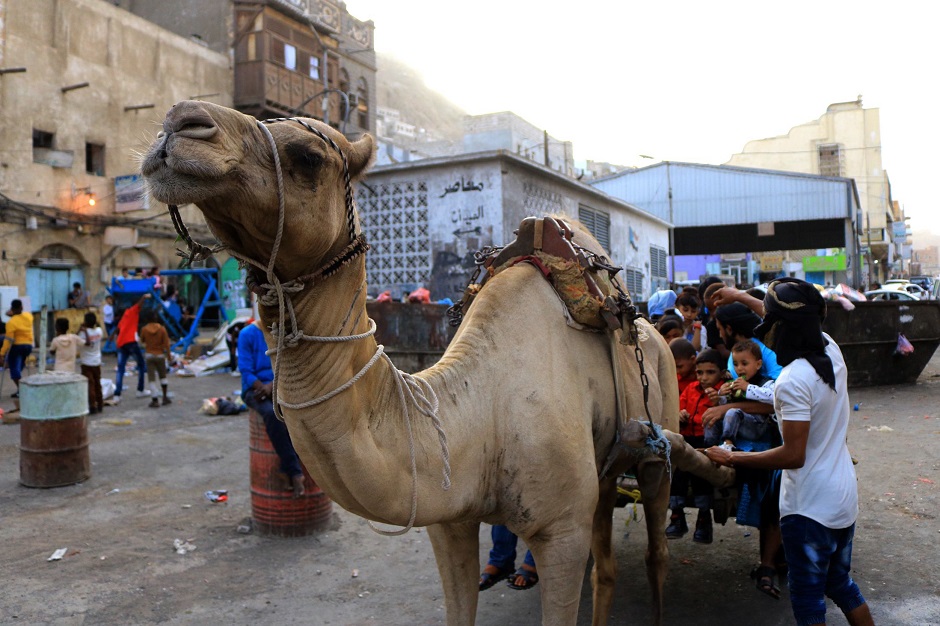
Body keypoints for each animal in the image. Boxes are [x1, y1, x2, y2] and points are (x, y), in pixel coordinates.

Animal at [141, 100, 736, 620]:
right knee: (608, 563)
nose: (178, 123)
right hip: (608, 466)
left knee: (657, 547)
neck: (480, 413)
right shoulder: (447, 521)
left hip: (657, 439)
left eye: (307, 156)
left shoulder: (560, 532)